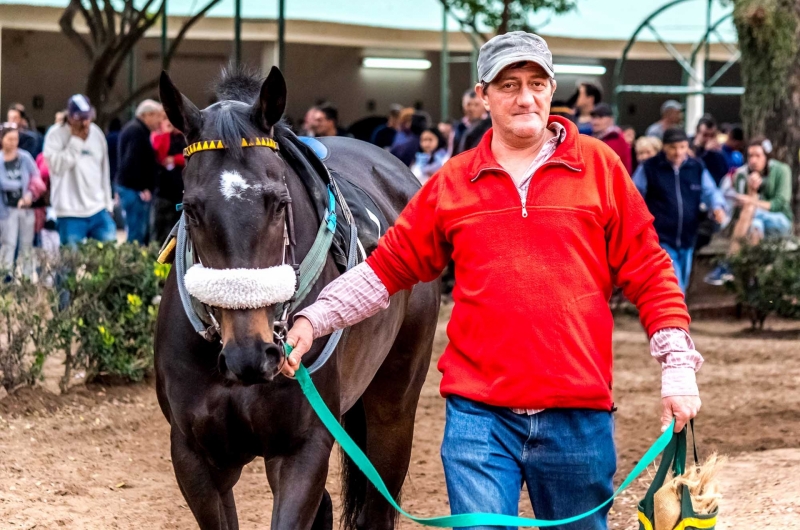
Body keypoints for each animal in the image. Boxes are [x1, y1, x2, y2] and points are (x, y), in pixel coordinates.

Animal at [153, 67, 440, 528]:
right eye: (192, 210)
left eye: (277, 202)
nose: (251, 354)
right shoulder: (195, 456)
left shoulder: (302, 449)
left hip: (394, 405)